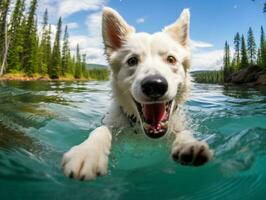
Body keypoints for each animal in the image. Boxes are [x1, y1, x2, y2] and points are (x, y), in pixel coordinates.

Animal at [61, 7, 213, 180]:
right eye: (132, 61)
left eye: (171, 59)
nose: (154, 85)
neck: (141, 130)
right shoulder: (113, 124)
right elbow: (101, 130)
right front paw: (88, 152)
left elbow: (183, 132)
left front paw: (188, 144)